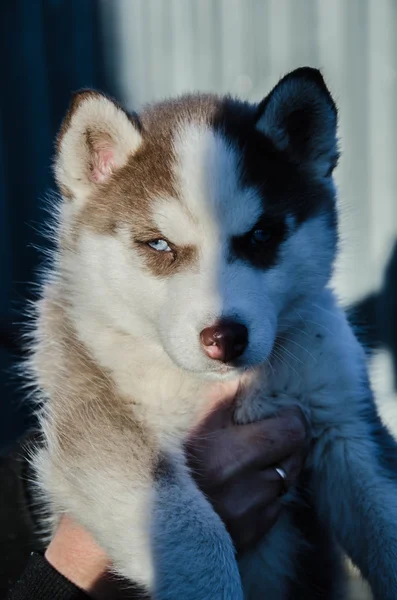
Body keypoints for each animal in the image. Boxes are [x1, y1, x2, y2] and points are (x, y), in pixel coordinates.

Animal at [29, 68, 396, 596]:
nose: (226, 338)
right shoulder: (97, 417)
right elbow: (197, 535)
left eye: (261, 235)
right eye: (159, 245)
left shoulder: (346, 425)